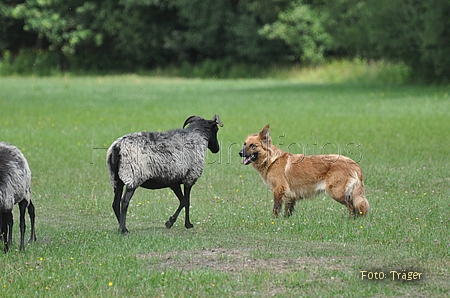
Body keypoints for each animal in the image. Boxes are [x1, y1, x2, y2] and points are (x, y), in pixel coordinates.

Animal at [239, 124, 370, 218]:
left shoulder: (279, 190)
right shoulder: (290, 196)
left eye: (253, 145)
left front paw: (273, 221)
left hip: (336, 192)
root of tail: (355, 164)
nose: (239, 153)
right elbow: (287, 211)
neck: (271, 159)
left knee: (352, 207)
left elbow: (276, 209)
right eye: (244, 144)